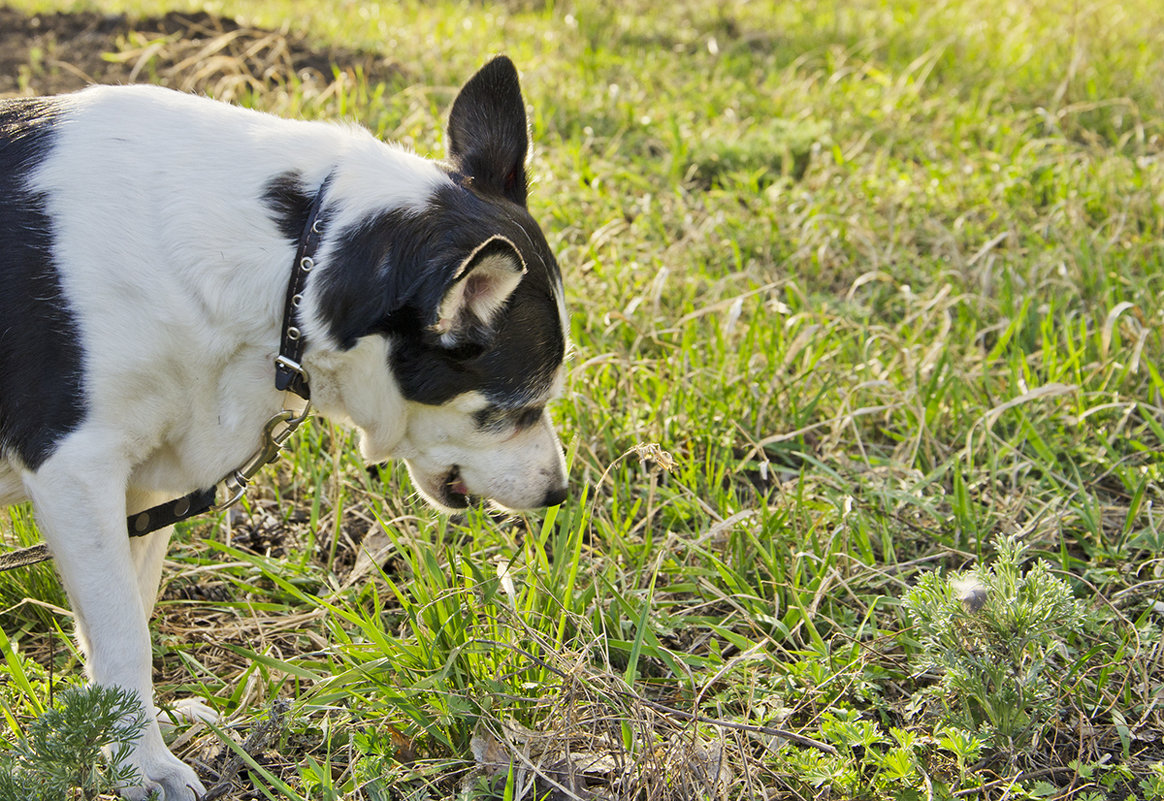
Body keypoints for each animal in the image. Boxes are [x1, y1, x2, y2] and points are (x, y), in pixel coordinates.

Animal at [0, 57, 568, 801]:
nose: (560, 491)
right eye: (514, 408)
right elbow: (124, 633)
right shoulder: (77, 471)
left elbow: (128, 617)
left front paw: (122, 743)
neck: (297, 257)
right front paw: (145, 767)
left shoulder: (143, 488)